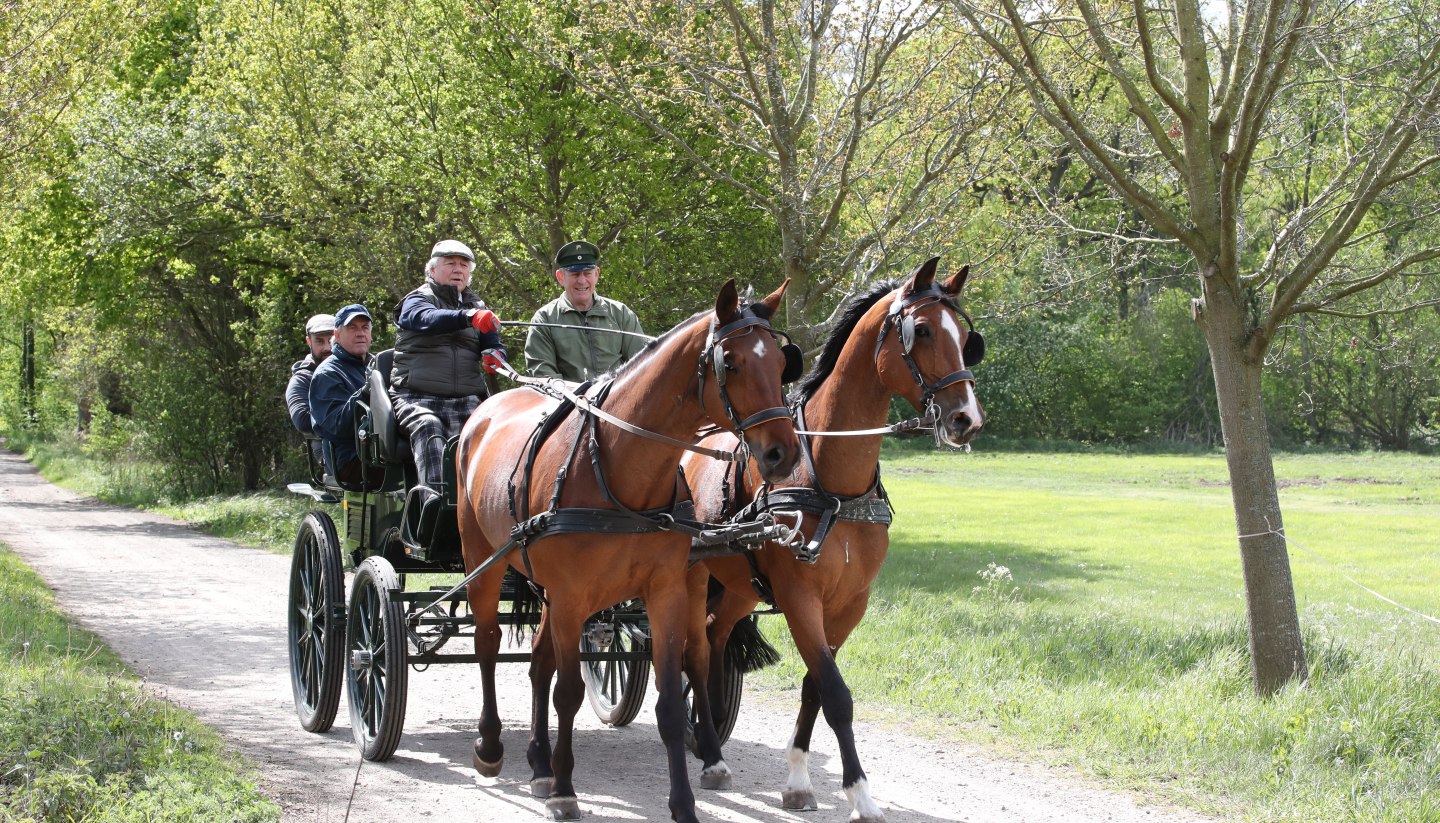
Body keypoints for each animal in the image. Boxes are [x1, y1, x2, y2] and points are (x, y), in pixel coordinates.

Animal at [457, 277, 800, 823]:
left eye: (781, 363)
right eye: (731, 362)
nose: (781, 452)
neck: (616, 465)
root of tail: (485, 412)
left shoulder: (664, 592)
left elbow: (669, 702)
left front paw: (683, 802)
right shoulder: (572, 595)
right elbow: (569, 693)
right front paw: (565, 790)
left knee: (539, 661)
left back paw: (538, 762)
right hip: (483, 563)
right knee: (488, 644)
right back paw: (492, 748)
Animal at [679, 258, 984, 823]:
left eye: (965, 337)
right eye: (923, 330)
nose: (966, 419)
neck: (833, 484)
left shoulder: (849, 603)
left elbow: (815, 687)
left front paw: (799, 780)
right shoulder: (802, 596)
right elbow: (836, 695)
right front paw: (860, 793)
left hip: (739, 588)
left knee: (714, 641)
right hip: (688, 578)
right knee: (694, 652)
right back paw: (710, 756)